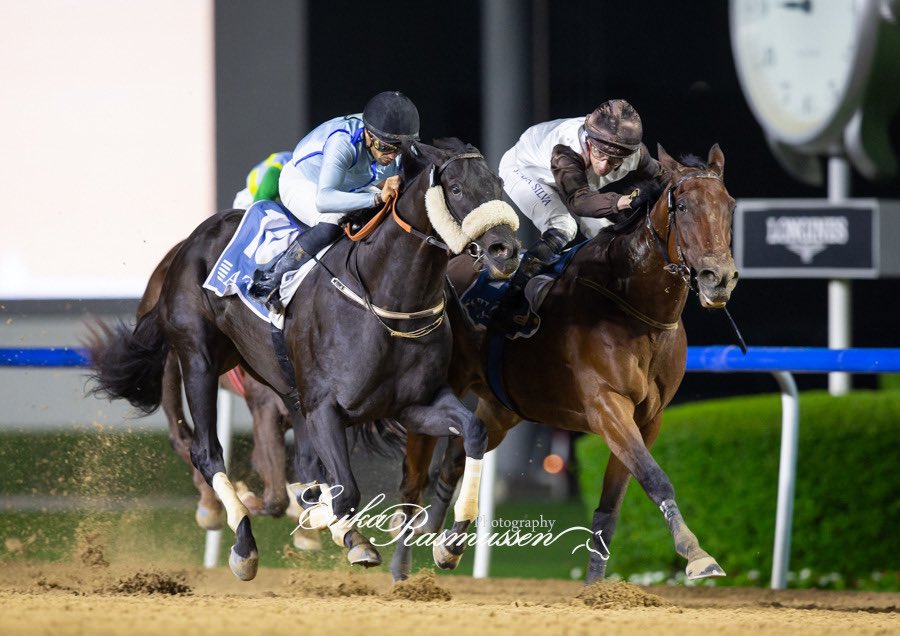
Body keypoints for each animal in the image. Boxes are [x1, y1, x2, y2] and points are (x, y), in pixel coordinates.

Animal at [86, 138, 521, 581]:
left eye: (499, 183)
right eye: (456, 188)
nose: (506, 250)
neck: (386, 301)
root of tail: (192, 240)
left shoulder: (414, 403)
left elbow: (473, 431)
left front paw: (449, 545)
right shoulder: (324, 407)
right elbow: (345, 489)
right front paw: (349, 537)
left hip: (278, 382)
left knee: (305, 467)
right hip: (197, 359)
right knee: (204, 449)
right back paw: (242, 542)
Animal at [395, 144, 738, 583]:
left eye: (728, 205)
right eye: (683, 206)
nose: (719, 278)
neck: (636, 308)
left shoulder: (648, 419)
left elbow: (611, 506)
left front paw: (597, 587)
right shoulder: (607, 407)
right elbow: (655, 478)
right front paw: (697, 554)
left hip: (503, 405)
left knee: (457, 453)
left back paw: (445, 544)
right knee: (426, 460)